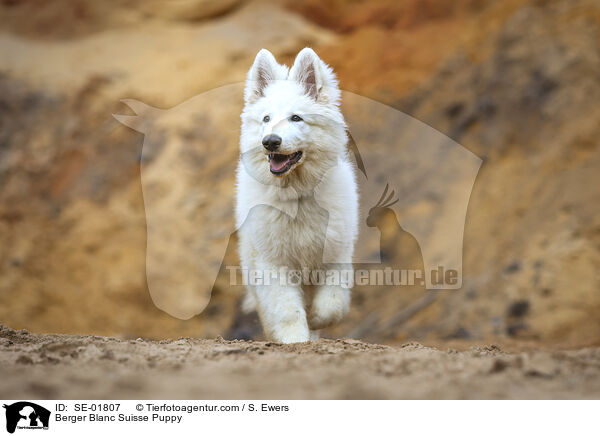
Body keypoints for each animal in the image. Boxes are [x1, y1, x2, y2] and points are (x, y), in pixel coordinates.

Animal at [234, 46, 356, 340]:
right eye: (266, 119)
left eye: (296, 118)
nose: (270, 141)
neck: (296, 196)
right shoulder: (272, 263)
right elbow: (287, 310)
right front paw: (295, 340)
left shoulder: (336, 255)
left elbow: (332, 304)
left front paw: (315, 319)